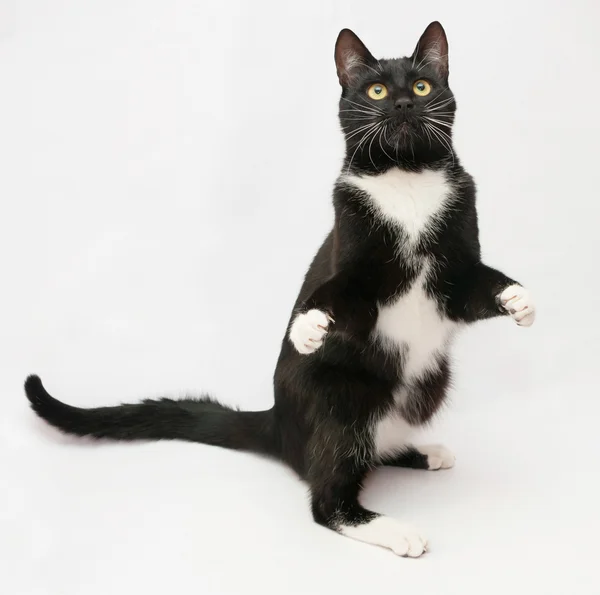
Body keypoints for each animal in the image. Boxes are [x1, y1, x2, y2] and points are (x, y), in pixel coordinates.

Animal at [25, 22, 536, 560]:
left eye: (421, 86)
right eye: (376, 90)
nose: (401, 103)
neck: (407, 182)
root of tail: (279, 424)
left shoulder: (455, 270)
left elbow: (473, 291)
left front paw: (519, 299)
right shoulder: (354, 265)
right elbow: (337, 299)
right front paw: (308, 324)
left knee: (368, 452)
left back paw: (421, 451)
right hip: (339, 397)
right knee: (328, 494)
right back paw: (393, 529)